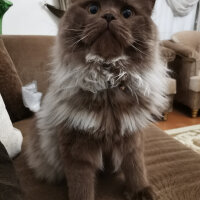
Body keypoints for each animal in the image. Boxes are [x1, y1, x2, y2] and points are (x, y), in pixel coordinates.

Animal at [25, 0, 168, 200]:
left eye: (127, 13)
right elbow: (82, 186)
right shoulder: (77, 147)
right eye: (93, 9)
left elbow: (135, 168)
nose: (108, 16)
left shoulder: (131, 136)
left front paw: (140, 191)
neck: (107, 82)